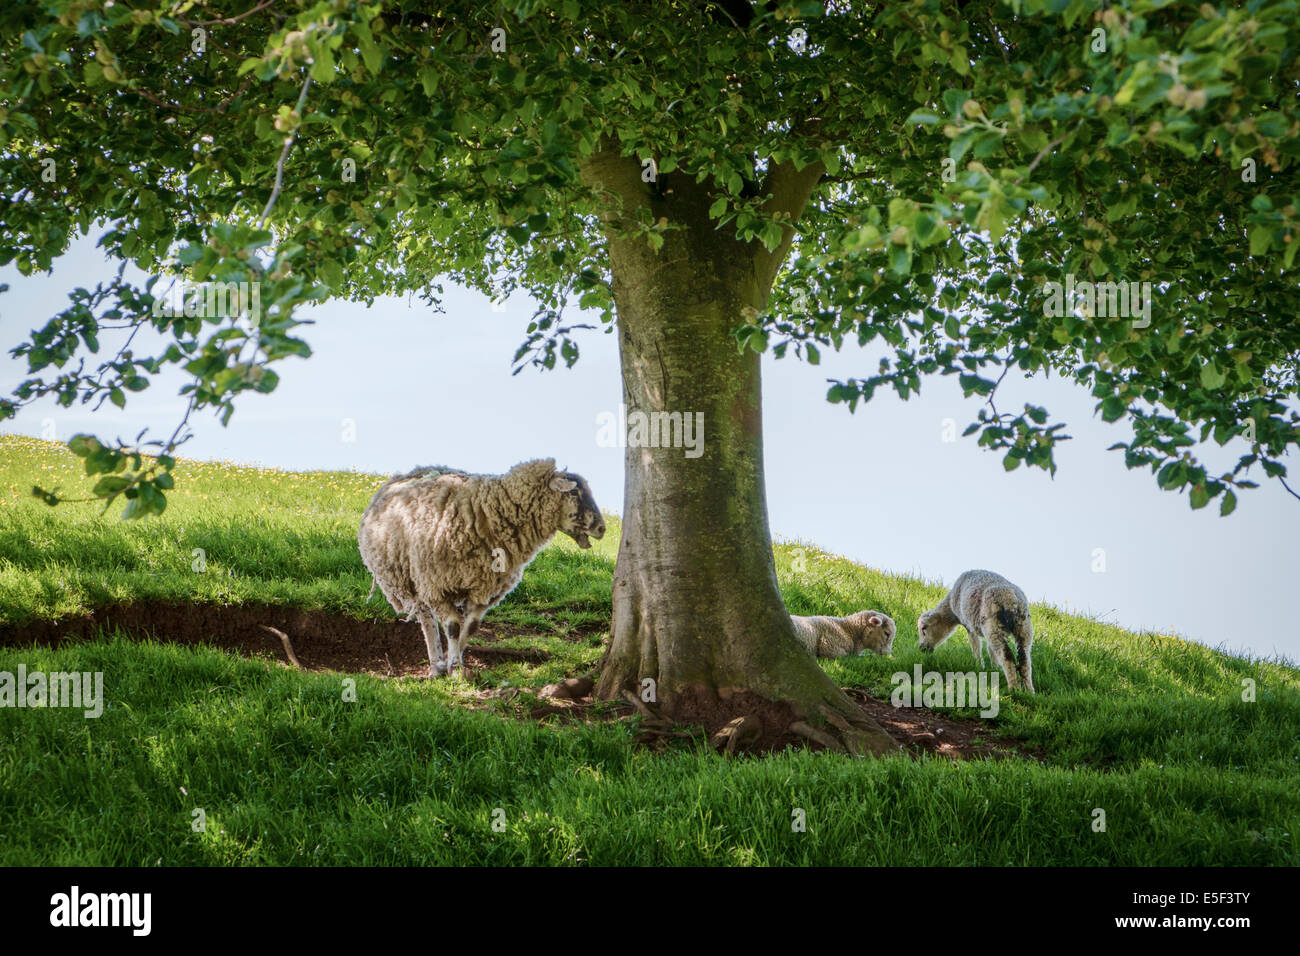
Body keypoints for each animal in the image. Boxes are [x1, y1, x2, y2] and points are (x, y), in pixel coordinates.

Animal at [358, 460, 605, 676]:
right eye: (574, 493)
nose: (602, 528)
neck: (487, 510)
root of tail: (405, 474)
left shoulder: (485, 590)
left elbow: (470, 628)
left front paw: (456, 660)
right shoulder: (437, 585)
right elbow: (453, 627)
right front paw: (454, 667)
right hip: (410, 578)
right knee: (426, 619)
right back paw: (436, 664)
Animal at [920, 567, 1040, 697]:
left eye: (924, 629)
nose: (922, 649)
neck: (950, 609)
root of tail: (1010, 599)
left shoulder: (968, 624)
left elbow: (976, 646)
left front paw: (978, 665)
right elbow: (990, 650)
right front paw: (995, 668)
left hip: (992, 624)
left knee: (1006, 656)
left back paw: (1013, 688)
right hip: (1023, 627)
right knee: (1024, 658)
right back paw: (1029, 691)